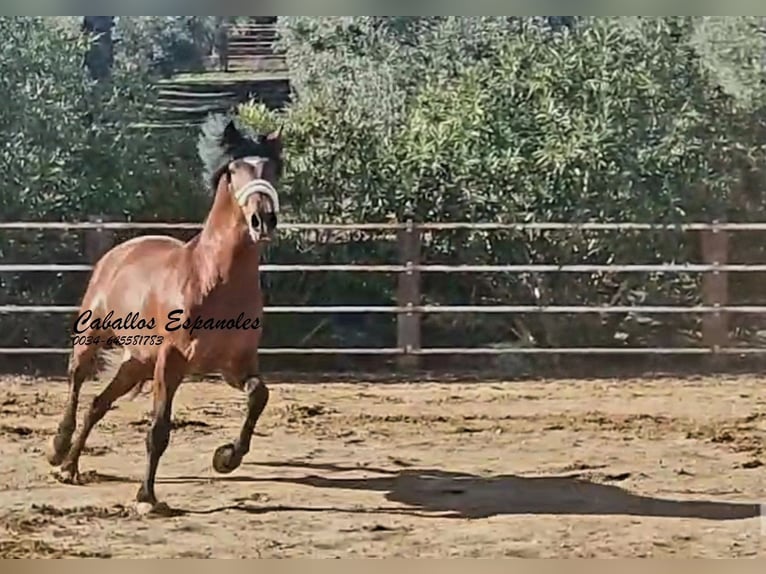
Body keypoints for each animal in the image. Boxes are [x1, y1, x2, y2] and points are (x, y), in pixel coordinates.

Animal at [46, 115, 283, 513]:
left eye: (274, 169)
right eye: (234, 170)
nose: (262, 220)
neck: (214, 280)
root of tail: (122, 250)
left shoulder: (234, 365)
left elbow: (258, 395)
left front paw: (226, 458)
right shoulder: (171, 361)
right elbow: (158, 429)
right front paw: (147, 498)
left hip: (138, 361)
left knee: (97, 404)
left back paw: (70, 468)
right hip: (93, 334)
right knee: (77, 381)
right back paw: (58, 451)